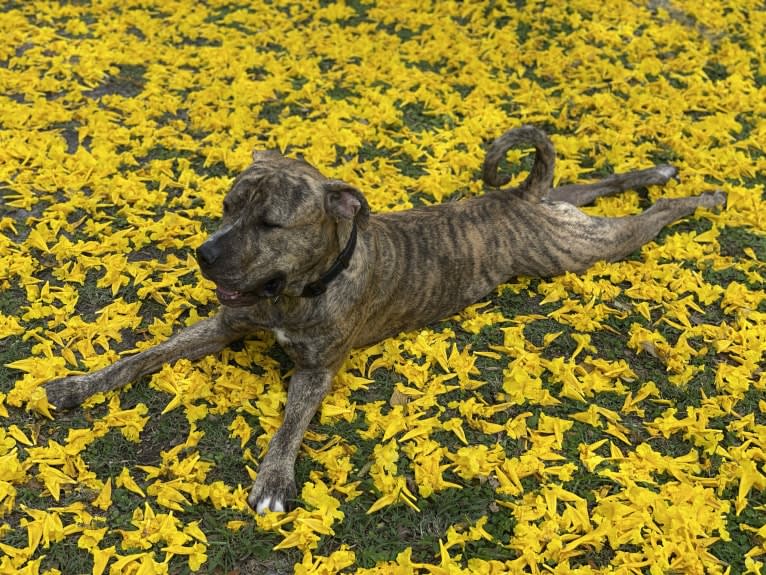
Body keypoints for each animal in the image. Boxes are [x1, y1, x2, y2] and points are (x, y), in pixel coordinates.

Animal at [45, 126, 728, 512]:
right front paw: (78, 384)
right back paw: (657, 169)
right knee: (601, 182)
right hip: (565, 211)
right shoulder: (224, 324)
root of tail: (515, 197)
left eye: (269, 223)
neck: (300, 288)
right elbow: (143, 356)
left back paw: (704, 195)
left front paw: (273, 481)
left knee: (652, 216)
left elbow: (289, 423)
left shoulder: (317, 371)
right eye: (227, 206)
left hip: (585, 249)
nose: (204, 254)